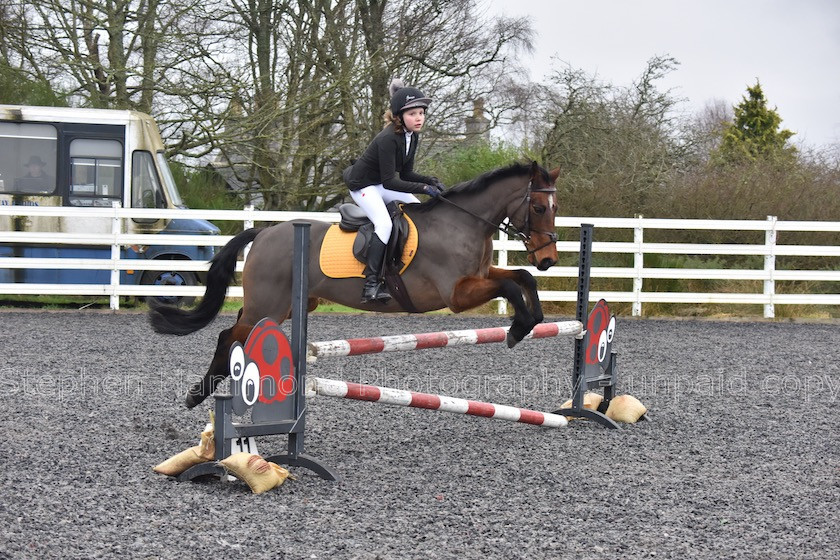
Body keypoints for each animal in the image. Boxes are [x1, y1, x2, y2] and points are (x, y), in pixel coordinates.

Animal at [151, 161, 560, 406]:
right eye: (539, 208)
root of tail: (264, 232)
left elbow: (520, 279)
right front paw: (517, 330)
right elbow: (511, 288)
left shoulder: (479, 277)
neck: (464, 223)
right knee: (229, 335)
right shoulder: (457, 294)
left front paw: (530, 321)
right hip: (268, 305)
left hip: (285, 306)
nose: (548, 260)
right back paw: (196, 395)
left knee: (238, 334)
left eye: (554, 208)